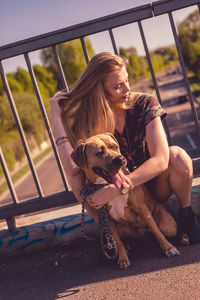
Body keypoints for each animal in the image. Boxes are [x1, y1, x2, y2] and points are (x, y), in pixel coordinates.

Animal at [71, 132, 180, 268]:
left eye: (115, 147)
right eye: (100, 152)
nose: (120, 159)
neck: (106, 185)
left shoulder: (141, 208)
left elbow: (157, 231)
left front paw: (168, 248)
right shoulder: (108, 220)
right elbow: (118, 242)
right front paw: (122, 258)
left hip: (167, 224)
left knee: (164, 230)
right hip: (121, 229)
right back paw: (129, 246)